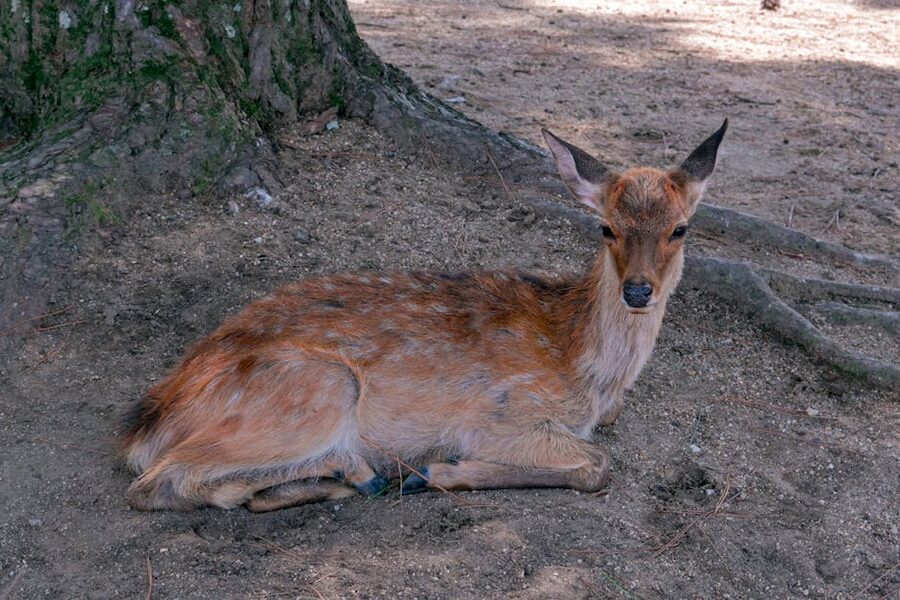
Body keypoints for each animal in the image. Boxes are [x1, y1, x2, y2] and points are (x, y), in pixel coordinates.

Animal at [121, 120, 727, 512]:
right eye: (606, 227)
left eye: (680, 229)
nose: (638, 291)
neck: (589, 372)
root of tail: (149, 418)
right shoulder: (500, 414)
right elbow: (598, 464)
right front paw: (442, 470)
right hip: (319, 387)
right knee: (158, 482)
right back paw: (361, 472)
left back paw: (349, 478)